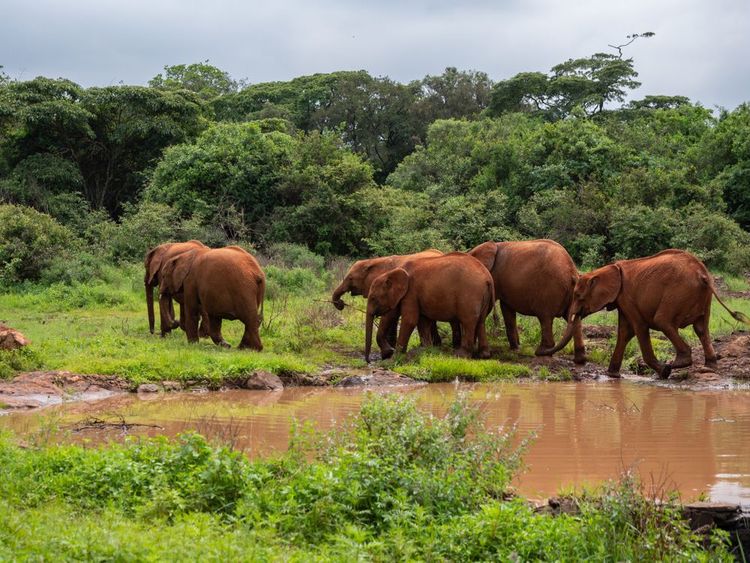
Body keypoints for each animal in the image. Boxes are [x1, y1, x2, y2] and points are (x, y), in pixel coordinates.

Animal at [364, 253, 494, 362]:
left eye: (373, 298)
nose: (368, 361)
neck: (392, 272)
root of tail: (487, 277)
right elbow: (421, 321)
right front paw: (426, 350)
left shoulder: (411, 292)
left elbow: (410, 320)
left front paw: (394, 357)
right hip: (483, 295)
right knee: (481, 321)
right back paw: (484, 355)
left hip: (470, 295)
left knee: (468, 322)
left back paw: (460, 355)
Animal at [542, 249, 750, 378]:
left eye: (578, 295)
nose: (540, 352)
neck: (608, 269)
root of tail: (703, 273)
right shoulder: (622, 299)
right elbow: (624, 332)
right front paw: (612, 375)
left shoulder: (627, 296)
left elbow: (638, 327)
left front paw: (663, 372)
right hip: (703, 297)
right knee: (701, 328)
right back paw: (710, 366)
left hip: (678, 292)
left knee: (663, 320)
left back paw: (676, 365)